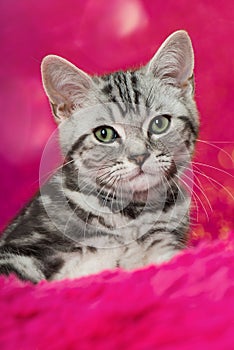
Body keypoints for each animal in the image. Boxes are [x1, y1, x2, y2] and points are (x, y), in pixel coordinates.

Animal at [0, 29, 199, 282]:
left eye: (159, 123)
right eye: (104, 134)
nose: (139, 156)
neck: (128, 216)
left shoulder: (164, 242)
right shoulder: (17, 250)